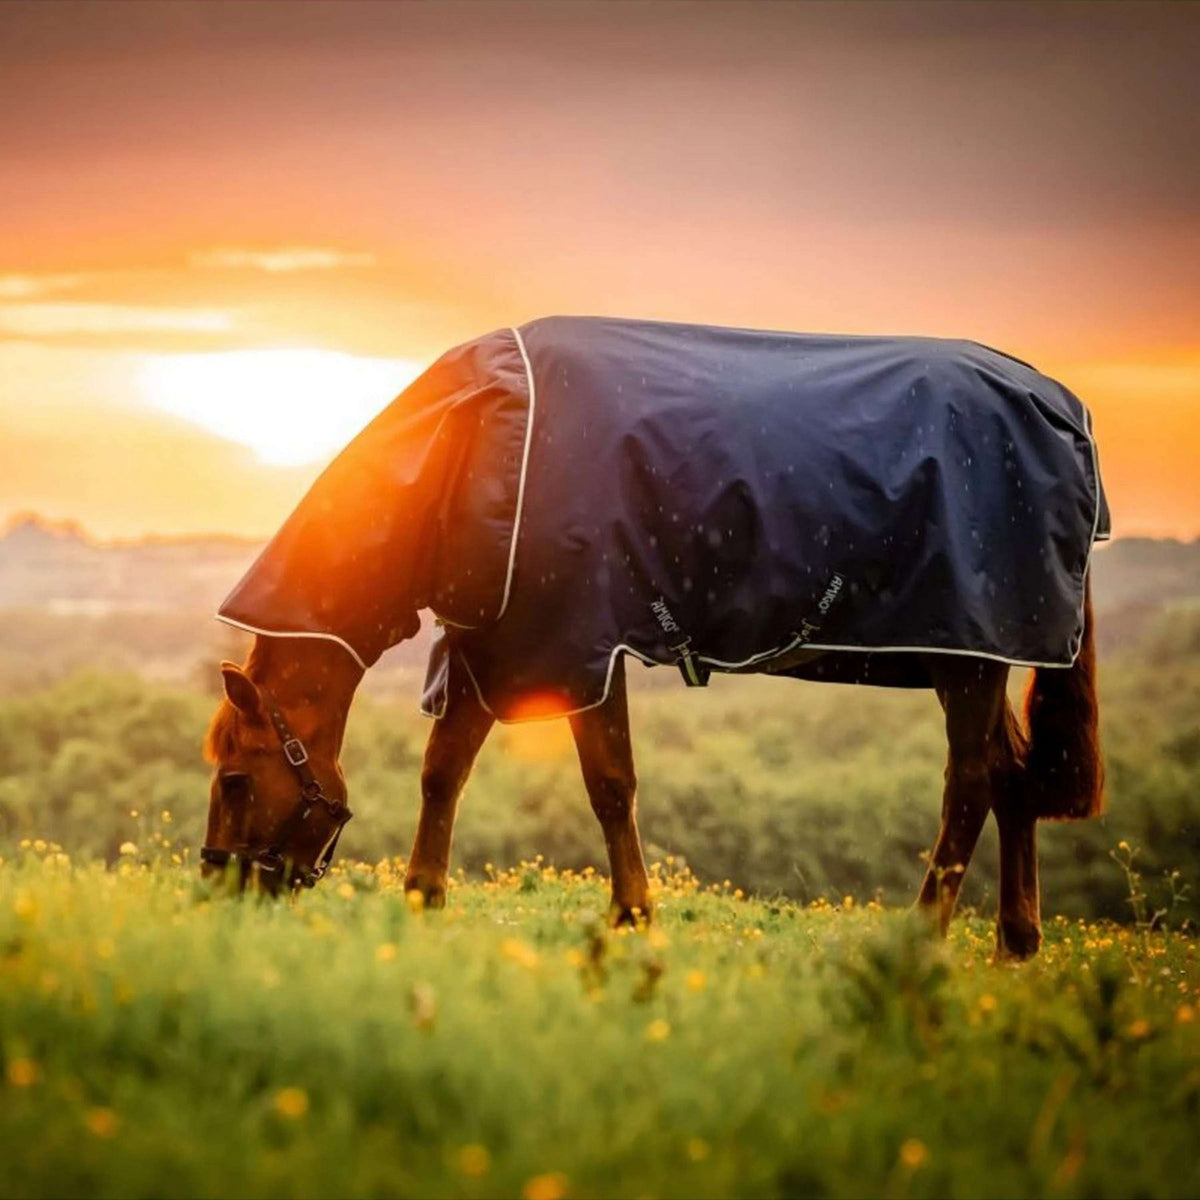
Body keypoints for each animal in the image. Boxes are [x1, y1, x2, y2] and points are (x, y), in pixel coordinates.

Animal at [201, 317, 1107, 959]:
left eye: (237, 780)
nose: (221, 892)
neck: (475, 444)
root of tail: (1059, 403)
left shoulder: (575, 647)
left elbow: (608, 783)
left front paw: (632, 914)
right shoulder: (497, 645)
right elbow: (443, 772)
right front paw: (424, 899)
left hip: (971, 658)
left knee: (971, 788)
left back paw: (924, 934)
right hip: (977, 660)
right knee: (1011, 778)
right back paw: (1014, 943)